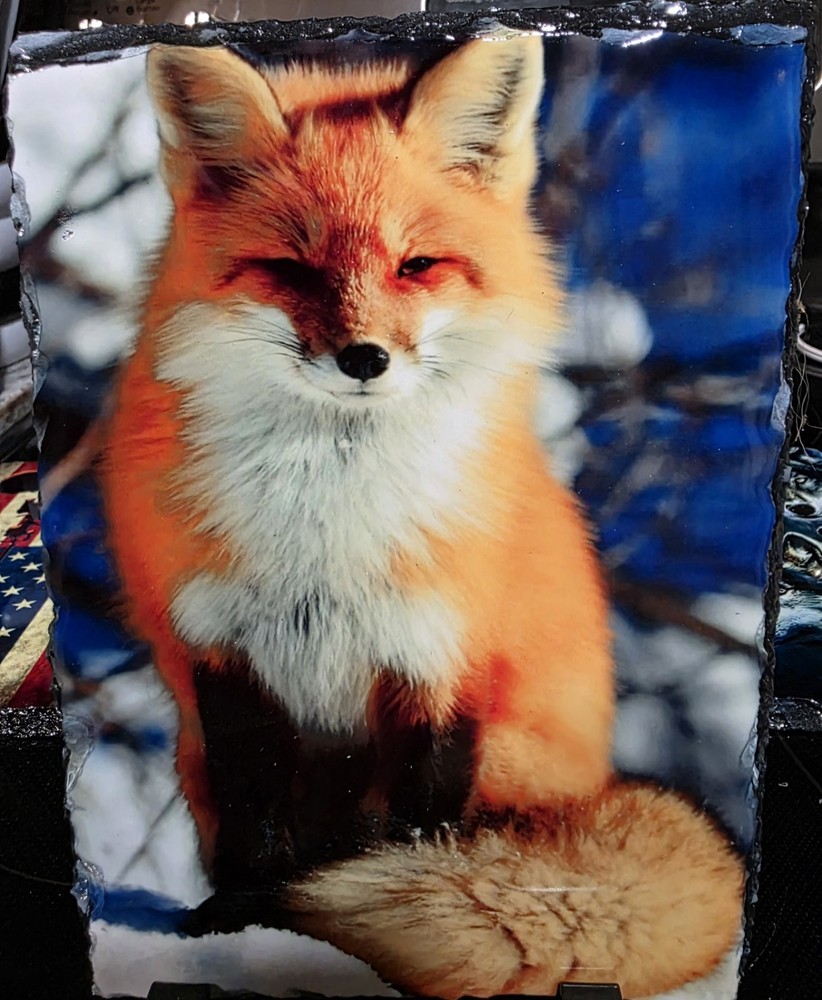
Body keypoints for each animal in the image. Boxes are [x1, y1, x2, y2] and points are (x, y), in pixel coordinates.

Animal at [95, 34, 742, 998]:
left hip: (511, 760)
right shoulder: (223, 657)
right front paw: (236, 927)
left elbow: (412, 837)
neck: (327, 531)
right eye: (292, 269)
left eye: (416, 266)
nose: (364, 358)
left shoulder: (442, 663)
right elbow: (255, 828)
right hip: (193, 755)